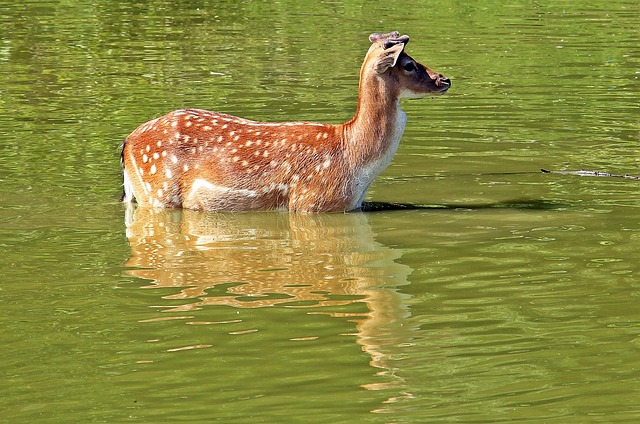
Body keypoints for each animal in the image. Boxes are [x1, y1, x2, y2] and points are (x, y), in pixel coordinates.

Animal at [120, 31, 450, 212]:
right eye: (408, 64)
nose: (444, 79)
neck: (354, 161)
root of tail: (126, 143)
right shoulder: (310, 203)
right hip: (158, 192)